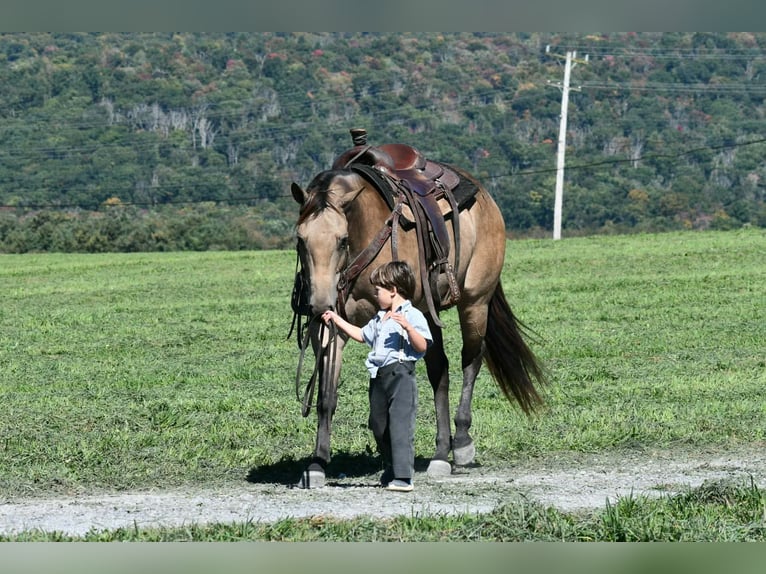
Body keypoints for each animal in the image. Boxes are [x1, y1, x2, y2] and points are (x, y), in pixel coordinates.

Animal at [290, 129, 546, 488]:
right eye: (300, 240)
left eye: (342, 240)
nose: (318, 303)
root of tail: (484, 196)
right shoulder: (330, 327)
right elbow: (327, 395)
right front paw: (317, 463)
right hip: (430, 314)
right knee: (441, 371)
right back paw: (440, 452)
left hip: (474, 303)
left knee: (470, 360)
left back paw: (459, 445)